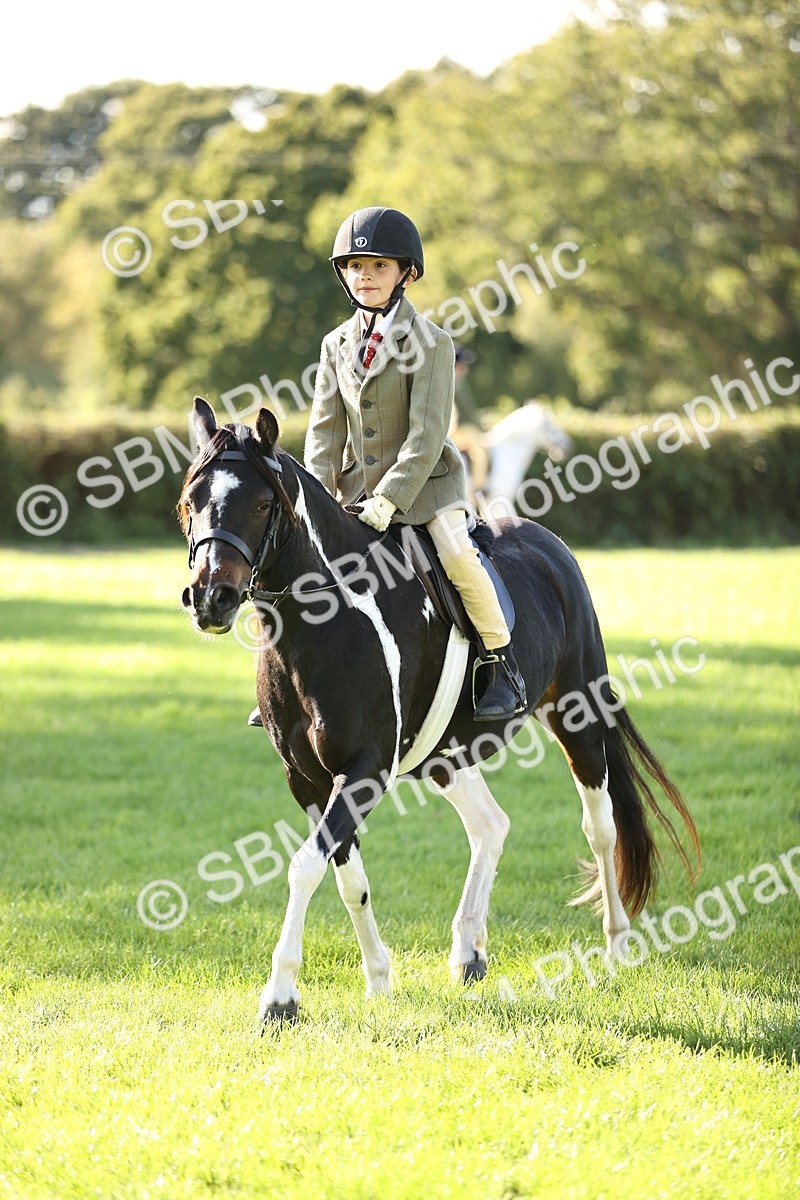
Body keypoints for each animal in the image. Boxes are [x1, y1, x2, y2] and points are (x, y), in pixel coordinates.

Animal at [178, 396, 699, 1025]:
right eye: (189, 502)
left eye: (259, 504)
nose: (211, 599)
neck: (321, 621)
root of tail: (547, 543)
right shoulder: (307, 778)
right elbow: (348, 877)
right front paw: (378, 979)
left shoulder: (365, 769)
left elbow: (305, 866)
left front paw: (280, 997)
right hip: (443, 755)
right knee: (491, 826)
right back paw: (469, 951)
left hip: (576, 714)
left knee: (600, 827)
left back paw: (618, 942)